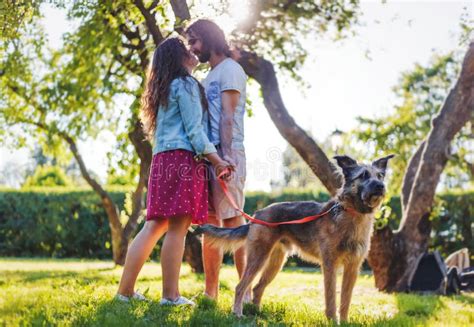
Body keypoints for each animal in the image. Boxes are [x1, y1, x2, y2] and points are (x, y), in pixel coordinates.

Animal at [194, 155, 394, 322]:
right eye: (363, 175)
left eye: (380, 176)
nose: (380, 186)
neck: (352, 214)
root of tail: (258, 214)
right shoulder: (329, 265)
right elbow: (331, 298)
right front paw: (332, 321)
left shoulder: (352, 268)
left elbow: (346, 300)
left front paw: (344, 322)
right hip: (258, 258)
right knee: (241, 287)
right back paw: (237, 313)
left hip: (275, 262)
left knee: (257, 287)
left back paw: (256, 313)